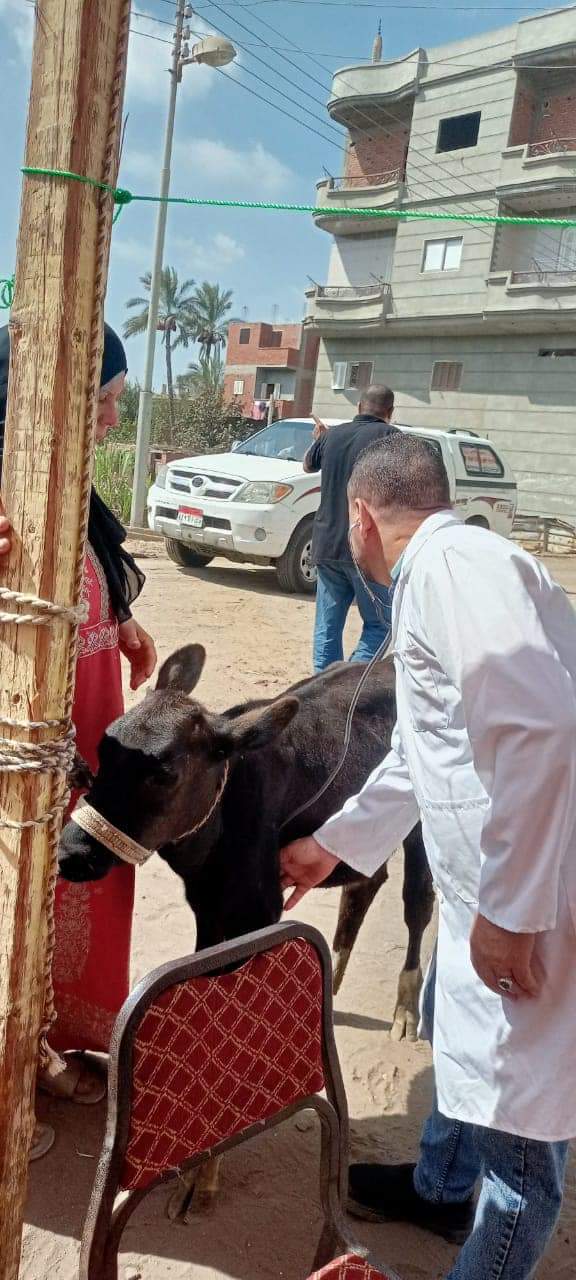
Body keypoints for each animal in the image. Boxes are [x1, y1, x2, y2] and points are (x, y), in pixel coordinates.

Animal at [60, 650, 435, 1218]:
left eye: (165, 773)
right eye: (105, 745)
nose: (72, 852)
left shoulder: (255, 911)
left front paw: (203, 1177)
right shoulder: (210, 912)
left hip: (420, 829)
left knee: (417, 898)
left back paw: (406, 1006)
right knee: (366, 882)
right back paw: (332, 986)